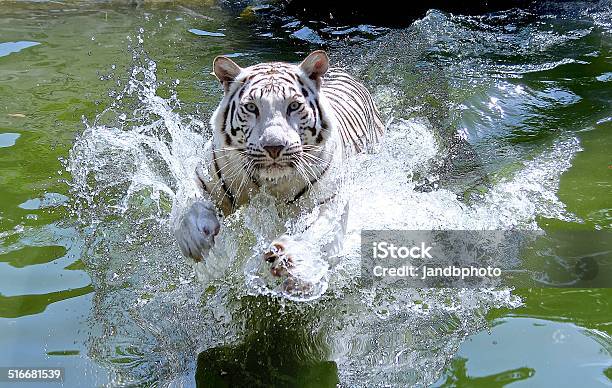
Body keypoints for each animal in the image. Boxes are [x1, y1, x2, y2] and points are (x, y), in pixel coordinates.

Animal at [175, 50, 382, 290]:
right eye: (252, 107)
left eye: (293, 106)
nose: (274, 146)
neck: (273, 183)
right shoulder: (207, 176)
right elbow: (187, 204)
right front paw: (194, 240)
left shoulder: (331, 200)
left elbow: (319, 232)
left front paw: (290, 256)